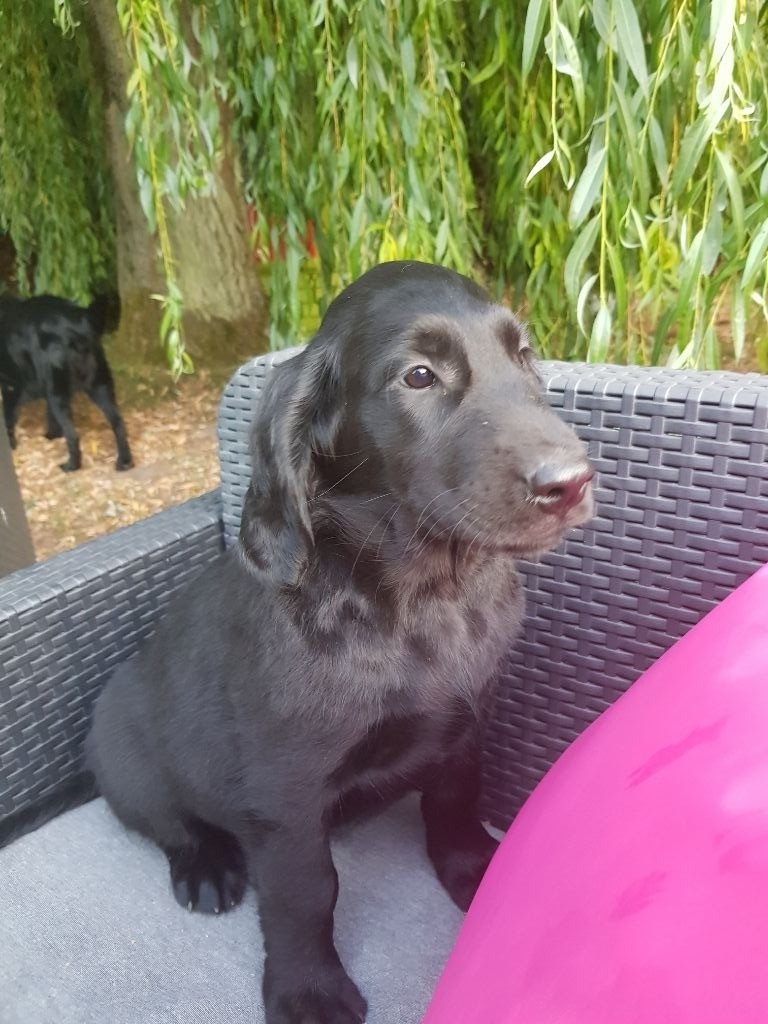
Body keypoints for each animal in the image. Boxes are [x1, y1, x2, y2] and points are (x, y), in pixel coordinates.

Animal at [0, 292, 133, 471]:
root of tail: (79, 326)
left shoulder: (11, 386)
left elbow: (8, 418)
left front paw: (11, 445)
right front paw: (52, 435)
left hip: (59, 392)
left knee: (73, 434)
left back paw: (72, 465)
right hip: (99, 386)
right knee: (118, 423)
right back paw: (124, 461)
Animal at [86, 261, 594, 1024]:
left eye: (525, 355)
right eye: (418, 376)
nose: (570, 482)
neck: (421, 598)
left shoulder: (468, 721)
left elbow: (454, 803)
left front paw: (476, 873)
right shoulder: (287, 788)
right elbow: (306, 891)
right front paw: (308, 989)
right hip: (123, 758)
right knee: (170, 823)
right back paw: (207, 868)